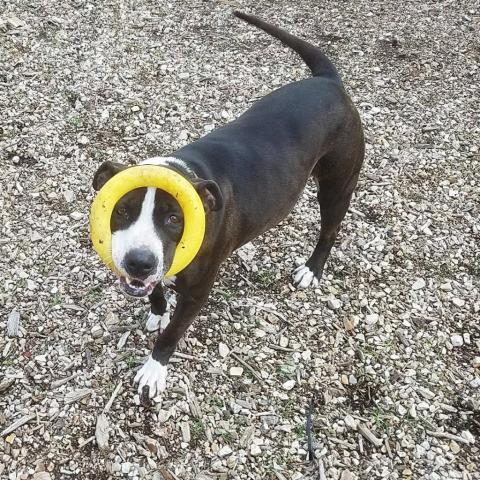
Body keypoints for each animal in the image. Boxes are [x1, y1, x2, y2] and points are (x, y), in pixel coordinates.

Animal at [93, 13, 364, 400]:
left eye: (174, 218)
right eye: (122, 210)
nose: (138, 262)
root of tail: (328, 81)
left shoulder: (197, 292)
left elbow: (172, 333)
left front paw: (154, 369)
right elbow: (156, 289)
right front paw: (158, 310)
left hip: (337, 184)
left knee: (329, 229)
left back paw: (312, 270)